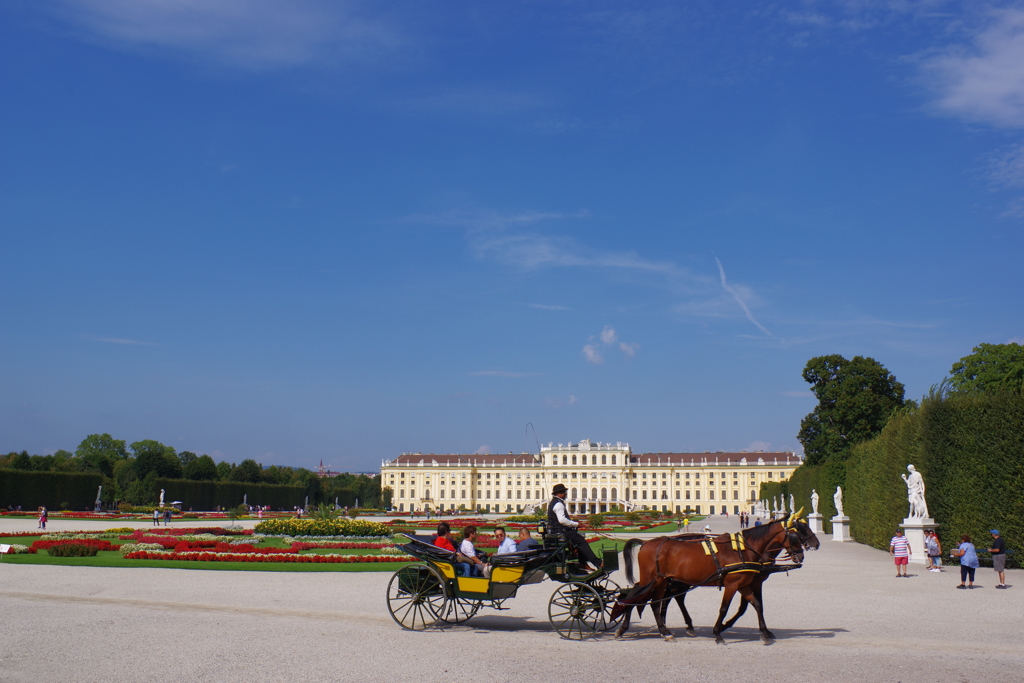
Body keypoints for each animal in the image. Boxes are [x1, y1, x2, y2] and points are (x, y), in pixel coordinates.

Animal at [610, 516, 819, 643]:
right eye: (797, 532)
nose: (815, 545)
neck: (745, 549)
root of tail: (646, 542)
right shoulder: (734, 584)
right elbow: (726, 608)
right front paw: (719, 632)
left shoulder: (746, 583)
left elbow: (755, 605)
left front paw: (765, 633)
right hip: (652, 579)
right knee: (635, 596)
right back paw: (629, 628)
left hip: (662, 581)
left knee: (654, 601)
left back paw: (665, 631)